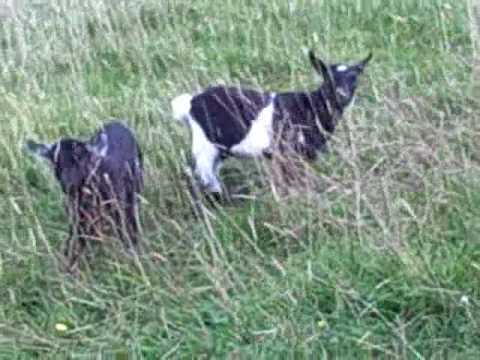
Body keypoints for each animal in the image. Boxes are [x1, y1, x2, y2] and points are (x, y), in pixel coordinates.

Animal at [26, 121, 143, 270]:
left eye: (81, 158)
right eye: (55, 162)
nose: (68, 185)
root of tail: (115, 122)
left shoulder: (119, 209)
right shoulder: (78, 217)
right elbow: (75, 242)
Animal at [171, 50, 374, 194]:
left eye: (355, 79)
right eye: (328, 78)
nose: (342, 95)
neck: (311, 106)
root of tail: (191, 102)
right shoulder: (286, 151)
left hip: (219, 149)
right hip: (204, 146)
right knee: (200, 173)